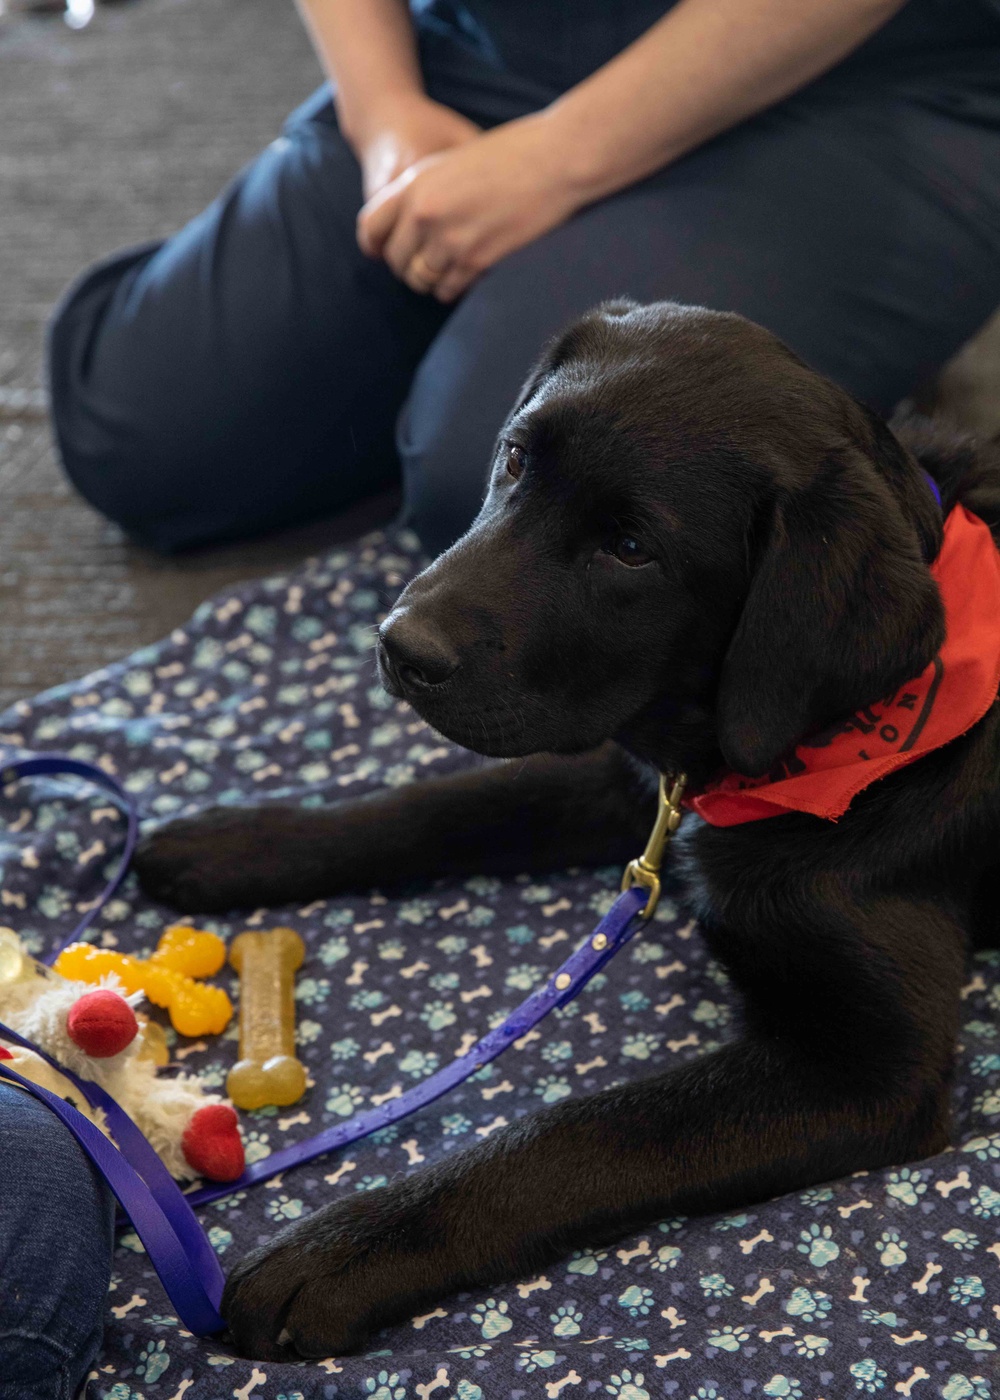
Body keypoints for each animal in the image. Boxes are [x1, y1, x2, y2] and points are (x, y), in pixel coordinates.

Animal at [134, 303, 997, 1355]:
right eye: (513, 459)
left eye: (630, 549)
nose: (399, 646)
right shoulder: (635, 775)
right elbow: (445, 805)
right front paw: (236, 840)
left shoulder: (872, 1068)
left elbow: (582, 1130)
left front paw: (340, 1251)